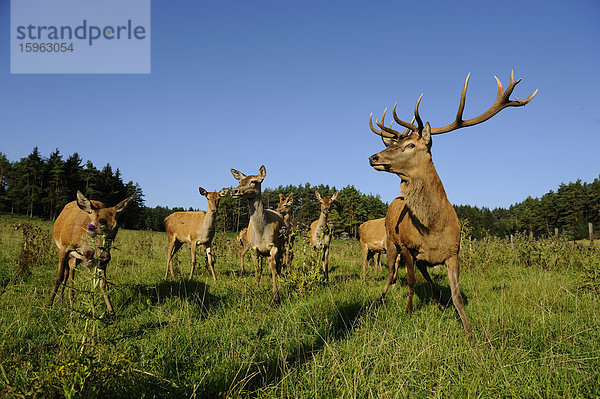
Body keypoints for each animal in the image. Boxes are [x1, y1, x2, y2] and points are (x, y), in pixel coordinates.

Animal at [230, 166, 286, 304]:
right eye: (240, 181)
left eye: (254, 181)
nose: (234, 191)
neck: (261, 234)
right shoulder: (253, 248)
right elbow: (257, 269)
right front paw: (256, 288)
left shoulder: (273, 246)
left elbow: (273, 268)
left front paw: (276, 296)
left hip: (283, 244)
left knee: (280, 264)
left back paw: (281, 282)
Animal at [368, 72, 536, 334]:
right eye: (394, 144)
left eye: (410, 145)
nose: (373, 157)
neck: (432, 228)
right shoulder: (407, 246)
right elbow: (411, 282)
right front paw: (409, 310)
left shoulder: (453, 252)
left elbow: (456, 294)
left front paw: (468, 330)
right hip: (391, 241)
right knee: (390, 274)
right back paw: (382, 298)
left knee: (423, 273)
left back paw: (438, 301)